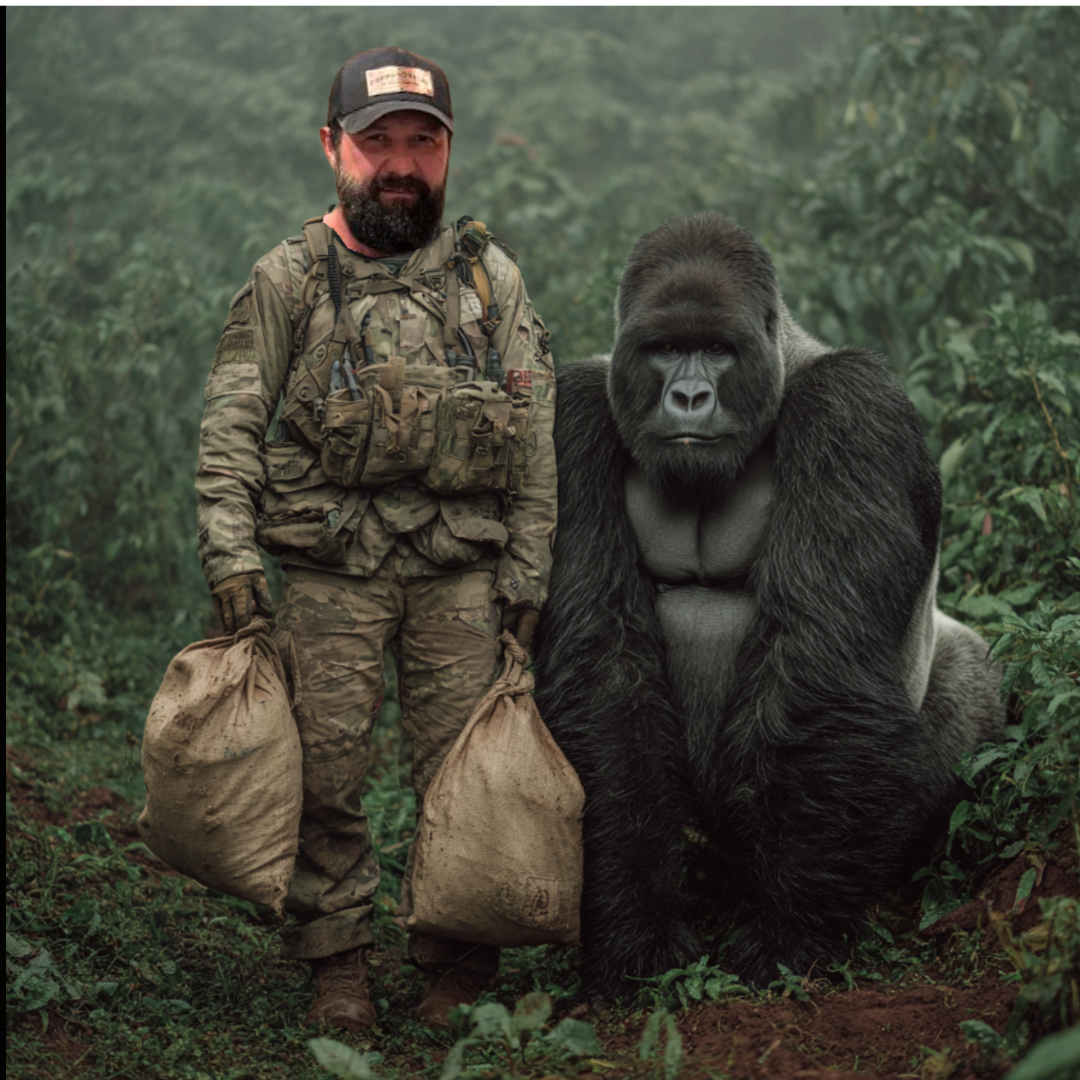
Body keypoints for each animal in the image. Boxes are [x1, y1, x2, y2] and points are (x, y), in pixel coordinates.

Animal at [533, 212, 1004, 998]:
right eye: (666, 349)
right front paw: (635, 929)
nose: (690, 398)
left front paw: (789, 932)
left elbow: (817, 668)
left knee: (967, 671)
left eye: (719, 352)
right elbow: (602, 677)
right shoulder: (568, 416)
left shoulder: (853, 408)